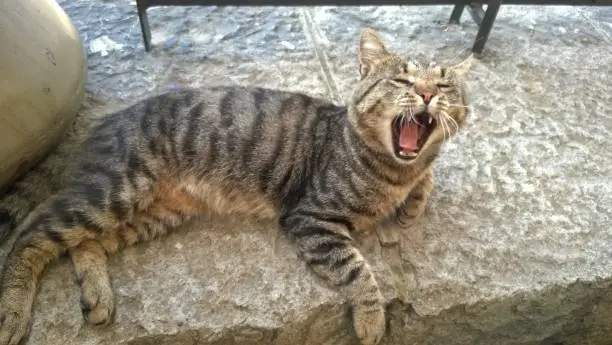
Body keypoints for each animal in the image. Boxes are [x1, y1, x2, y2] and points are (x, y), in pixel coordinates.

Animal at [0, 27, 470, 344]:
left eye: (444, 85)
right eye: (402, 80)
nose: (427, 94)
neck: (393, 172)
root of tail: (99, 121)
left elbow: (426, 179)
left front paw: (409, 207)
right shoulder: (310, 219)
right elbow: (358, 269)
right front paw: (373, 319)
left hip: (152, 212)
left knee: (81, 244)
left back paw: (97, 295)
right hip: (116, 190)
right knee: (31, 235)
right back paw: (12, 312)